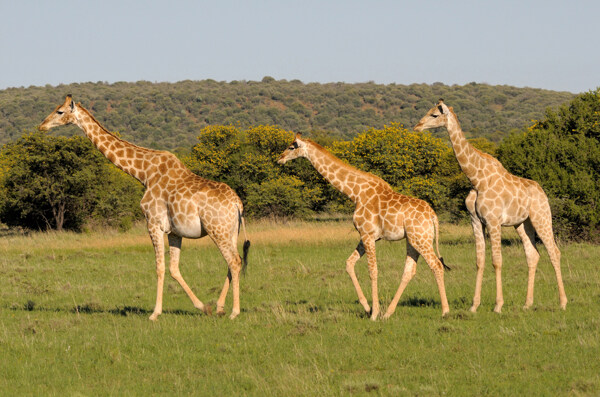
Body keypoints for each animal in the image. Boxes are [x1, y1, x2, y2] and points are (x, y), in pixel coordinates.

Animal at [38, 94, 251, 320]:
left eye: (60, 111)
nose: (42, 126)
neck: (144, 173)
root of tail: (237, 204)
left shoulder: (153, 223)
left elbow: (160, 267)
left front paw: (155, 313)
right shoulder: (174, 231)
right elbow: (174, 269)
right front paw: (203, 307)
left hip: (216, 229)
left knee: (234, 261)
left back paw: (234, 312)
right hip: (230, 231)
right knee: (234, 261)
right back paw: (219, 307)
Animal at [276, 133, 450, 318]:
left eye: (292, 147)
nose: (280, 158)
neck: (355, 193)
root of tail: (433, 215)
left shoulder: (367, 234)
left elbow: (372, 271)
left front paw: (374, 313)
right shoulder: (365, 235)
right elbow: (349, 264)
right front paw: (367, 307)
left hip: (421, 238)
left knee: (436, 265)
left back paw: (445, 311)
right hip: (412, 239)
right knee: (409, 271)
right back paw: (388, 313)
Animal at [414, 99, 564, 312]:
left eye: (434, 115)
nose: (417, 126)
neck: (476, 179)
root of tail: (542, 192)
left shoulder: (493, 221)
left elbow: (497, 261)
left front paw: (498, 306)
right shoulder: (476, 221)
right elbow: (479, 261)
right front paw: (474, 306)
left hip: (541, 217)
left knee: (554, 252)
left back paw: (562, 302)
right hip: (522, 224)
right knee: (532, 255)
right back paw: (527, 304)